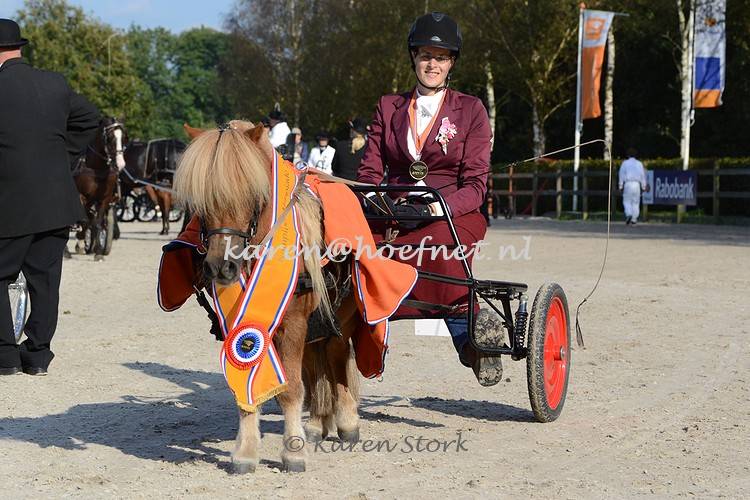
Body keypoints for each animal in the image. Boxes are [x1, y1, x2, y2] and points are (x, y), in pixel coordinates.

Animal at [70, 117, 127, 261]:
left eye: (124, 137)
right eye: (110, 138)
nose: (120, 164)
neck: (96, 169)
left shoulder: (104, 199)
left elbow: (97, 223)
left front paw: (98, 251)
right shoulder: (81, 197)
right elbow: (85, 221)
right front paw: (81, 241)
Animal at [174, 120, 361, 473]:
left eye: (253, 194)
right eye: (200, 201)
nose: (221, 267)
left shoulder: (295, 321)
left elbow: (291, 388)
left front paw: (293, 451)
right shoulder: (241, 325)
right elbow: (248, 385)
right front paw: (246, 451)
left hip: (341, 313)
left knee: (337, 355)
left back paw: (346, 420)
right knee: (317, 361)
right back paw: (317, 422)